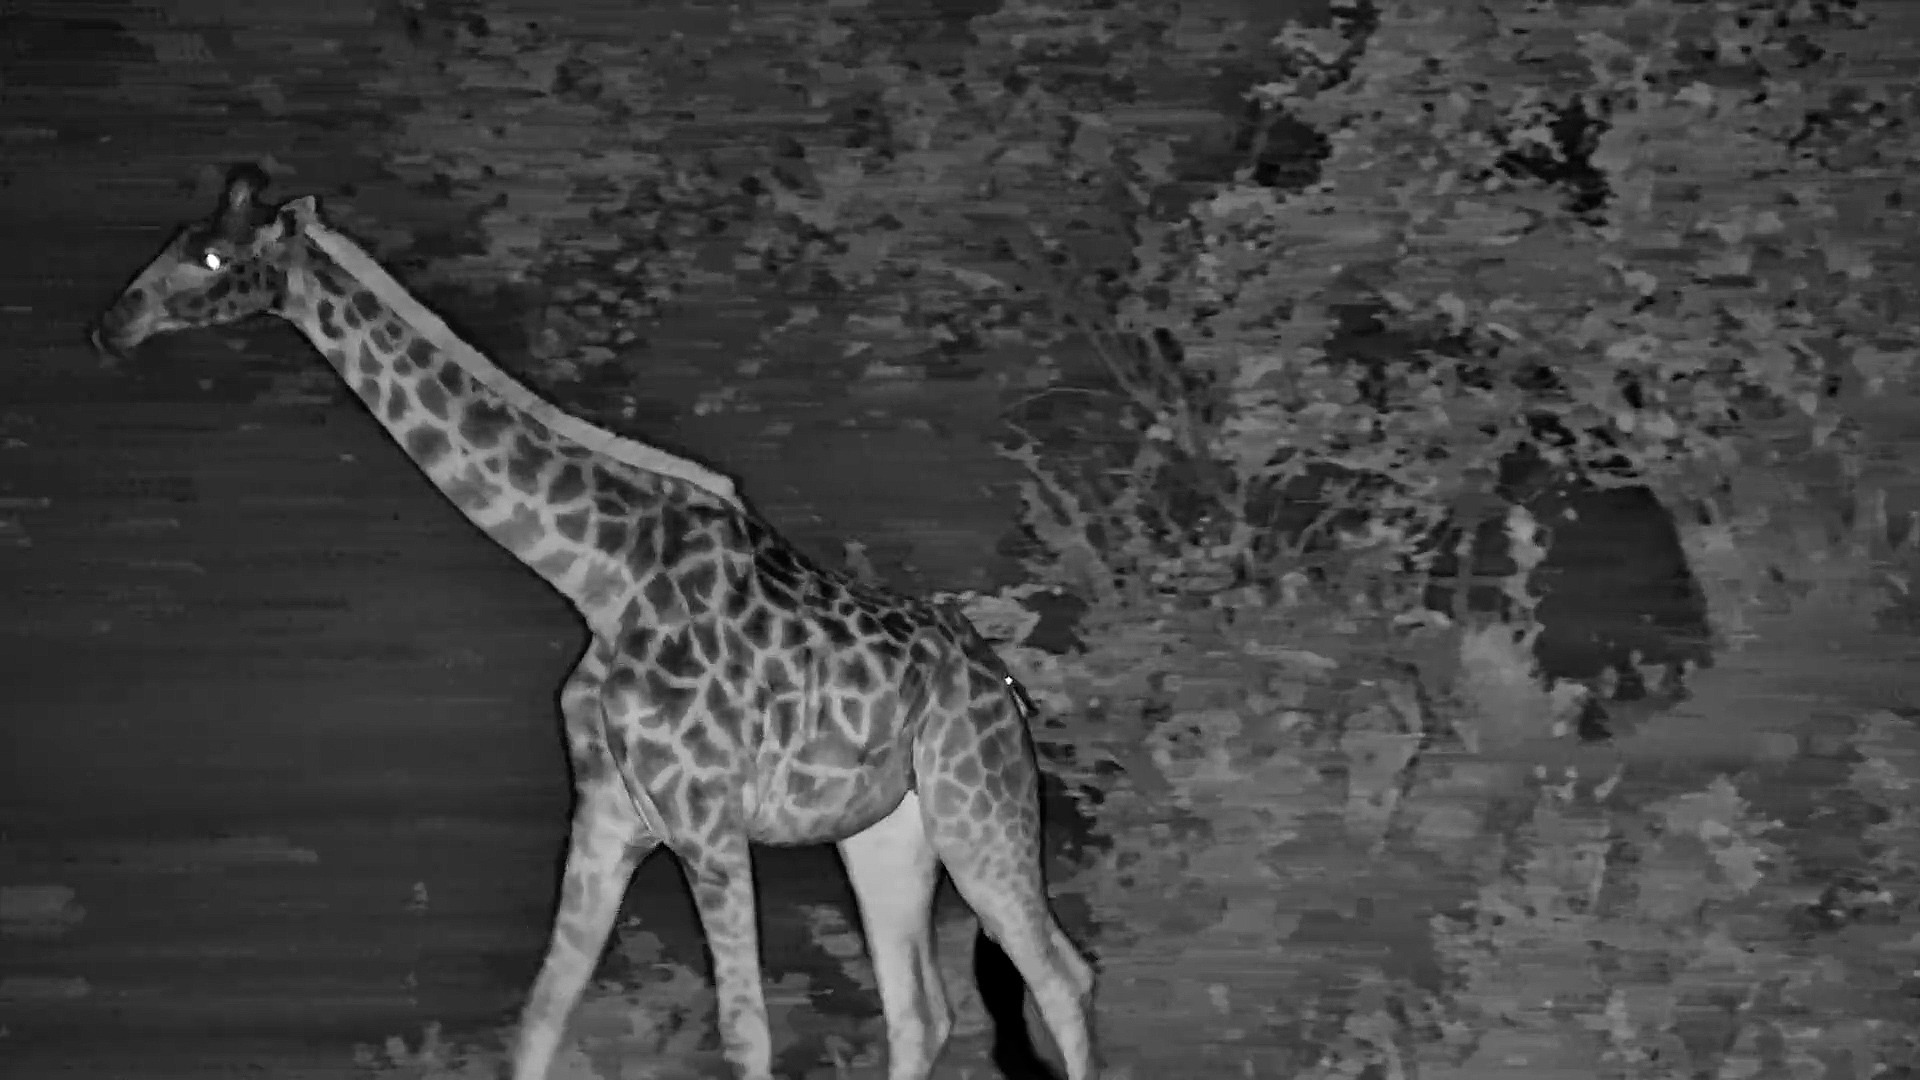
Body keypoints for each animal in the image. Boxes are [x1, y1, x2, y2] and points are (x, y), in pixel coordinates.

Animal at [90, 163, 1098, 1080]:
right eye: (176, 237)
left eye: (213, 256)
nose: (113, 324)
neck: (599, 575)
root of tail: (1003, 683)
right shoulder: (610, 817)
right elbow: (540, 1017)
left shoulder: (708, 822)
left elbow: (744, 1034)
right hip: (885, 833)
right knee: (924, 1014)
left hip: (979, 807)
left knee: (1062, 975)